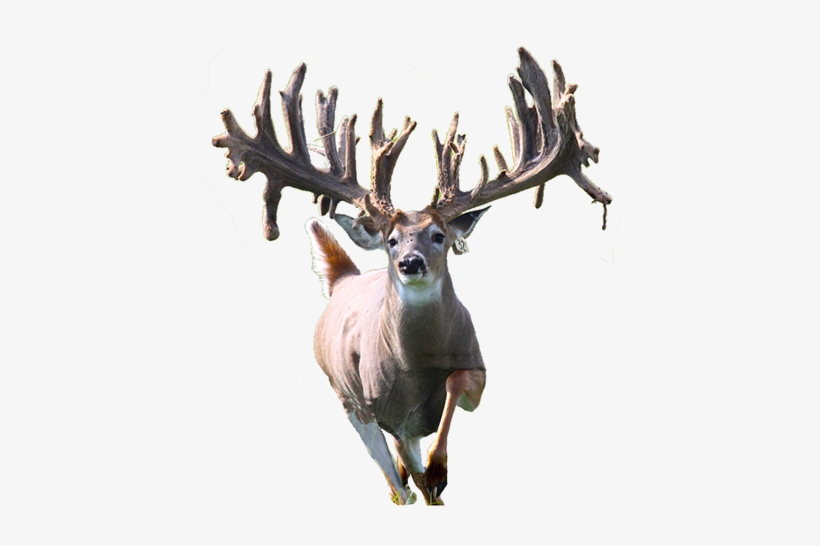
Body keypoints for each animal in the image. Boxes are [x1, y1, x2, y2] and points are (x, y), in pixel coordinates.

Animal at [212, 48, 611, 505]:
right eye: (391, 240)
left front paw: (440, 468)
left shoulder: (476, 373)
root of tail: (344, 279)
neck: (419, 369)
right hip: (348, 401)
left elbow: (454, 390)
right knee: (395, 483)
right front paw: (431, 473)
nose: (410, 263)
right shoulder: (388, 414)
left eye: (439, 235)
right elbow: (407, 468)